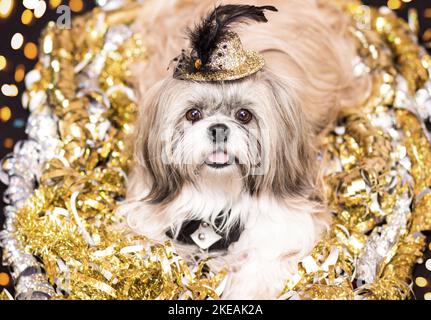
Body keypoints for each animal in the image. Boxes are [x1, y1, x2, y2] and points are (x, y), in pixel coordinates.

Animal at [116, 0, 370, 300]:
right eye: (193, 114)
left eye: (244, 115)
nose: (219, 129)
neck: (219, 195)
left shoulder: (287, 225)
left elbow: (260, 266)